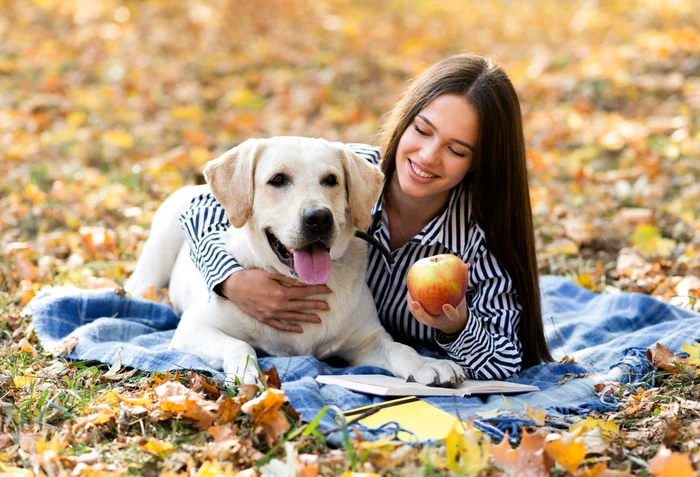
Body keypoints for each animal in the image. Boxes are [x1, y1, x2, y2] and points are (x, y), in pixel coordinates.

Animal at [127, 136, 464, 384]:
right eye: (278, 179)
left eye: (331, 180)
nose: (319, 218)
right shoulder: (194, 328)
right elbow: (238, 343)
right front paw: (248, 370)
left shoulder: (366, 338)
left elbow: (399, 347)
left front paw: (427, 364)